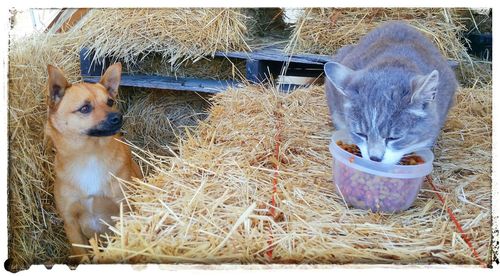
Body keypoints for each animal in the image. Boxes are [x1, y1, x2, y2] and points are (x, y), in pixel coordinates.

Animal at [44, 62, 141, 260]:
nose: (118, 117)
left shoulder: (125, 210)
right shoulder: (71, 223)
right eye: (84, 108)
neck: (90, 156)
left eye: (110, 102)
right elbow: (82, 255)